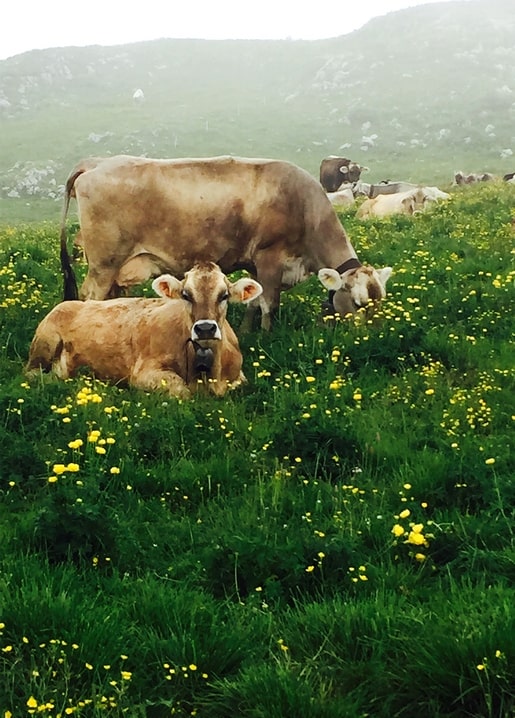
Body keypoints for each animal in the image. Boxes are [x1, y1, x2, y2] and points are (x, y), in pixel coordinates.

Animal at [26, 262, 263, 399]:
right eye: (186, 295)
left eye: (224, 295)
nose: (205, 328)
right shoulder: (142, 373)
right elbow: (182, 390)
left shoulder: (239, 378)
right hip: (44, 344)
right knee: (32, 374)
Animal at [59, 154, 391, 331]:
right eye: (359, 303)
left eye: (381, 301)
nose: (374, 337)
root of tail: (95, 163)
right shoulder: (270, 257)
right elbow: (269, 304)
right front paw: (267, 337)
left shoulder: (256, 265)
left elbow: (253, 301)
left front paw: (245, 331)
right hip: (103, 264)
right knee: (90, 297)